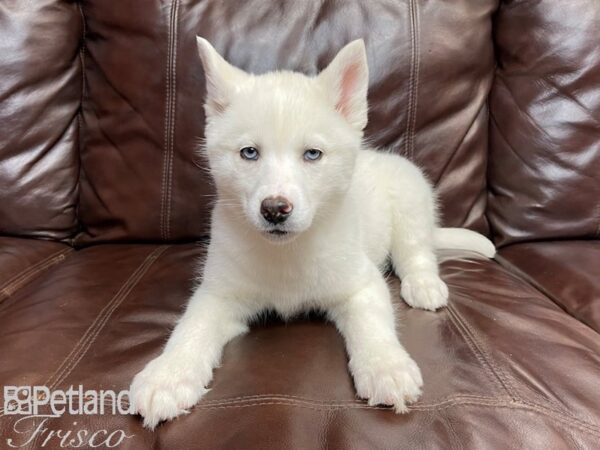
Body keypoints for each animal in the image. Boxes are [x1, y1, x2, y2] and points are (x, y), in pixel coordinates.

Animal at [132, 38, 496, 428]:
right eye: (249, 153)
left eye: (312, 154)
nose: (275, 209)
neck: (289, 252)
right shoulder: (219, 292)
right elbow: (191, 327)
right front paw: (167, 375)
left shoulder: (361, 283)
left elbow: (372, 324)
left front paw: (386, 366)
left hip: (411, 199)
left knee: (417, 252)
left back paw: (424, 284)